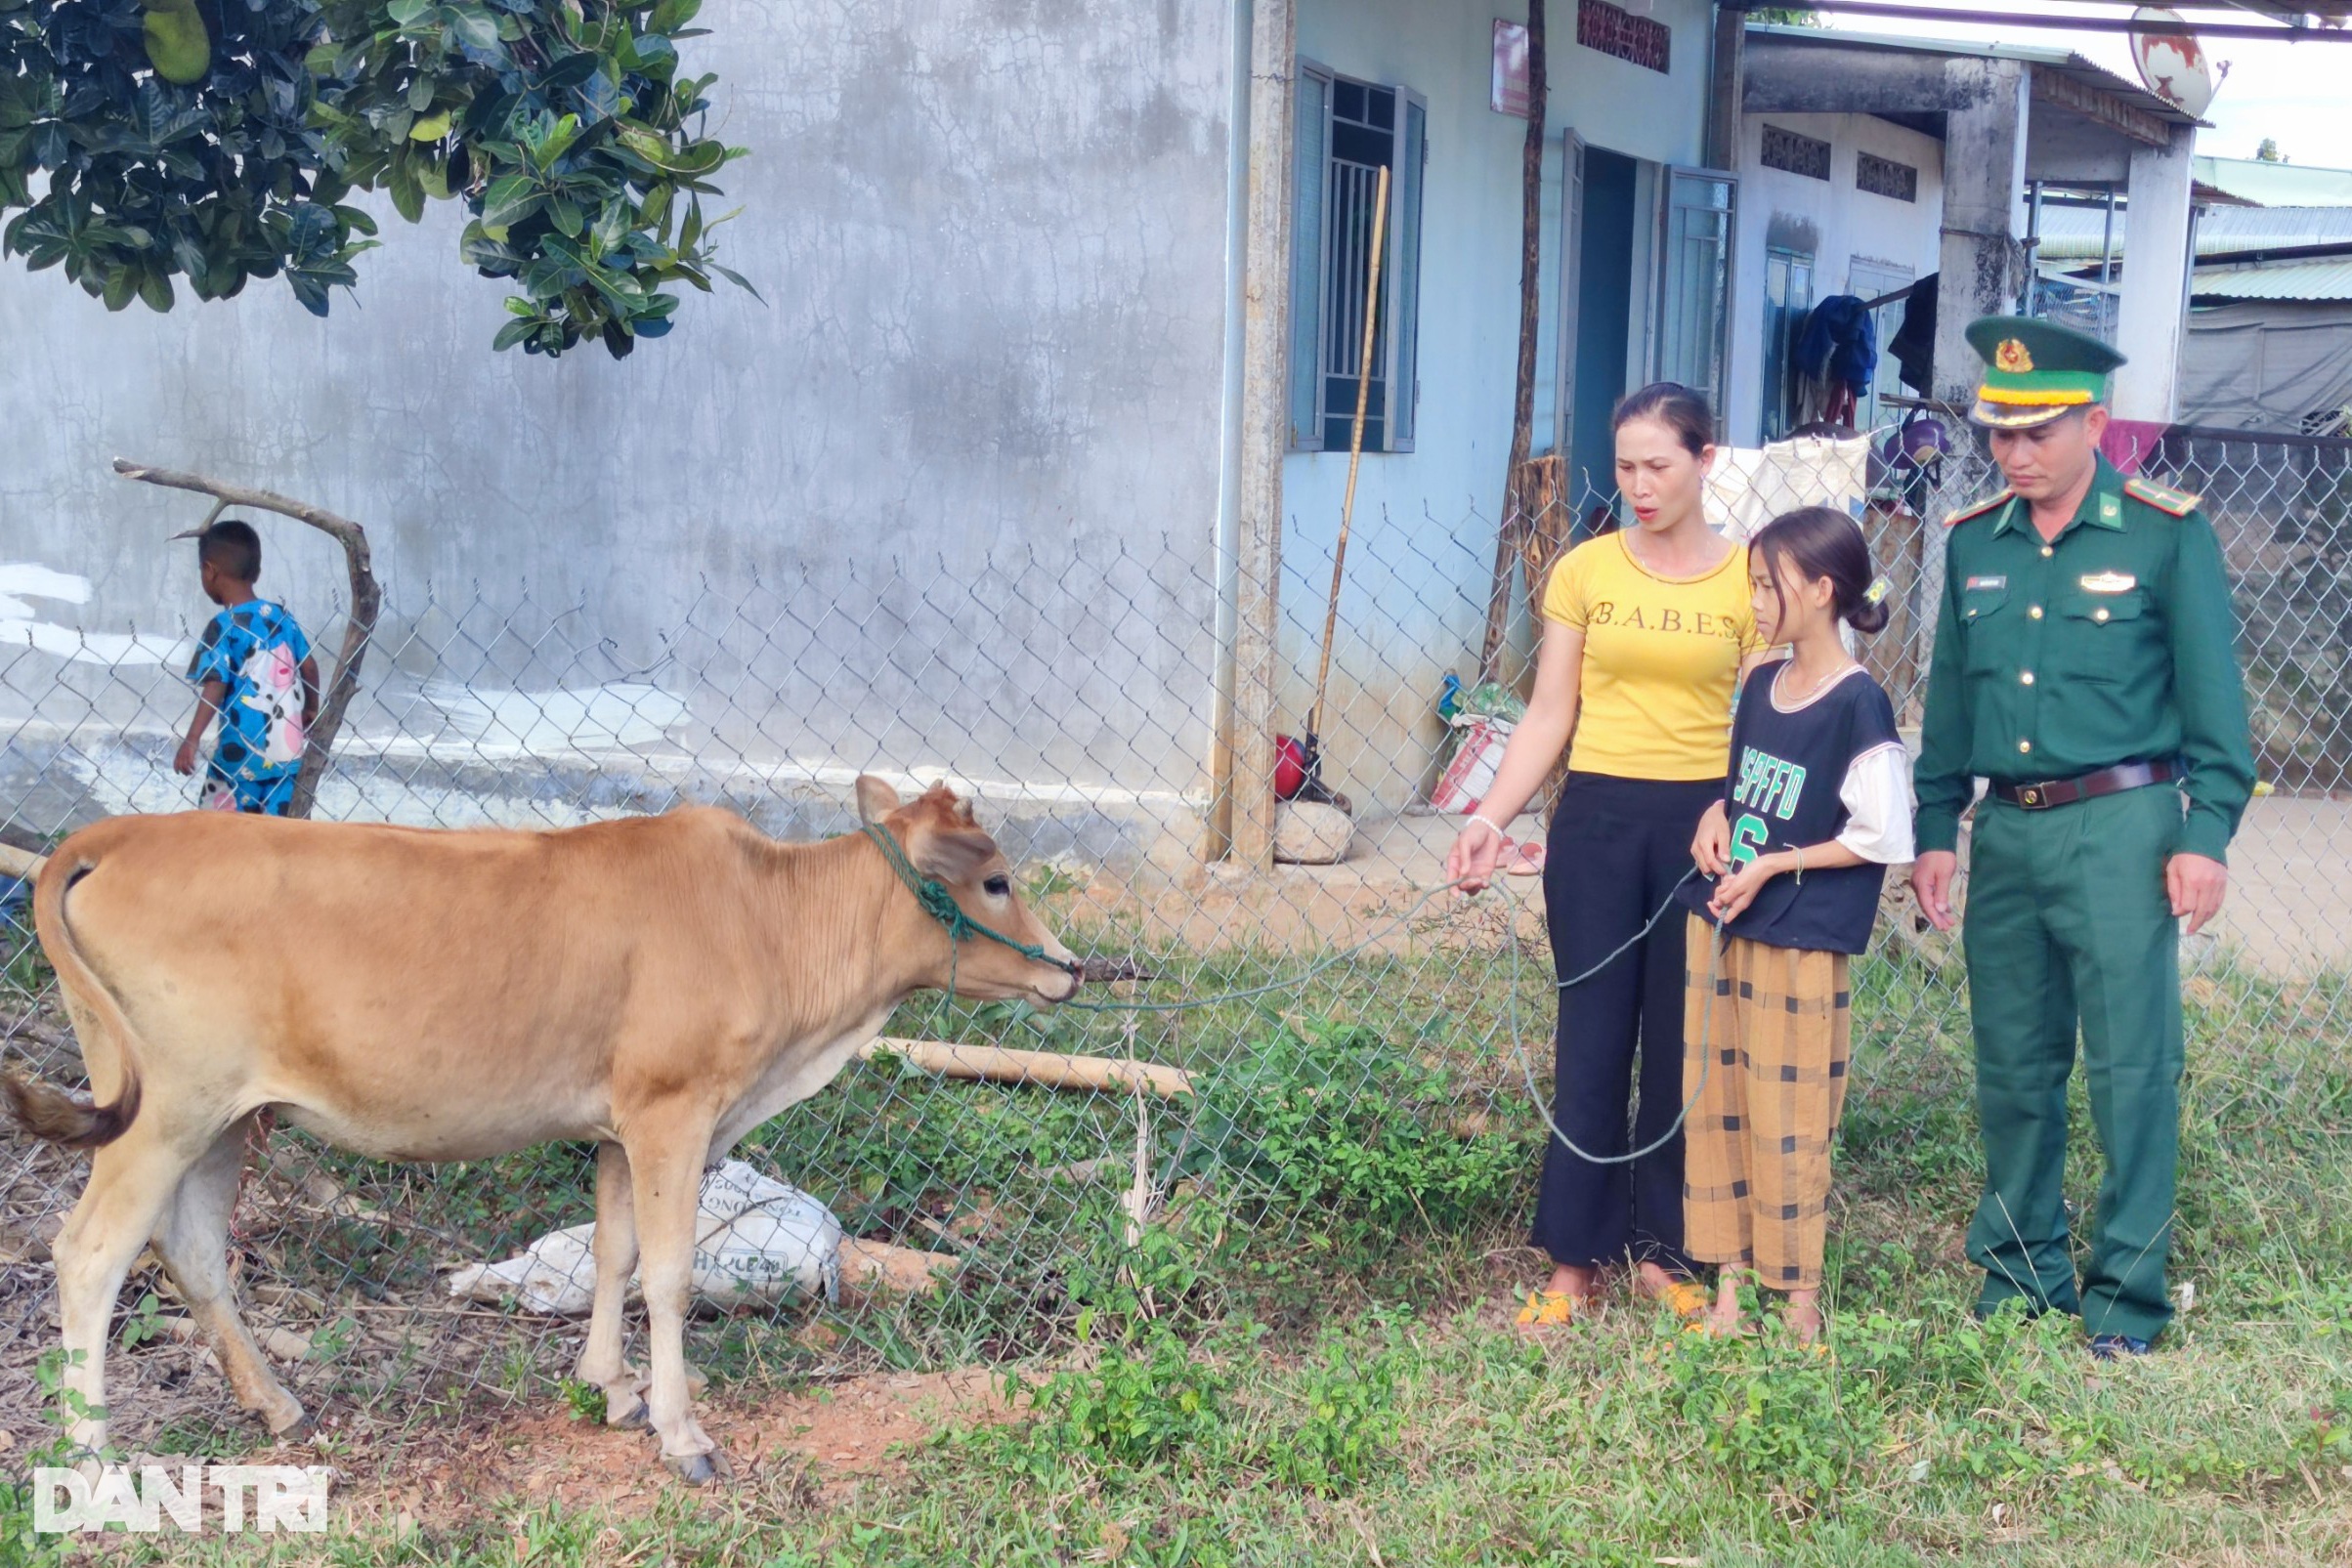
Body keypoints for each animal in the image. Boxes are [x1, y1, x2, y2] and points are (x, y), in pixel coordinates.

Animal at [0, 780, 1077, 1495]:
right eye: (993, 879)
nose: (1070, 968)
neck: (771, 919)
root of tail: (123, 834)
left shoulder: (617, 1126)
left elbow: (613, 1254)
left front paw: (612, 1387)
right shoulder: (674, 1111)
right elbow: (668, 1273)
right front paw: (681, 1431)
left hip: (223, 1120)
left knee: (189, 1250)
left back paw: (279, 1406)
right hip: (162, 1113)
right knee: (89, 1254)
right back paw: (93, 1455)